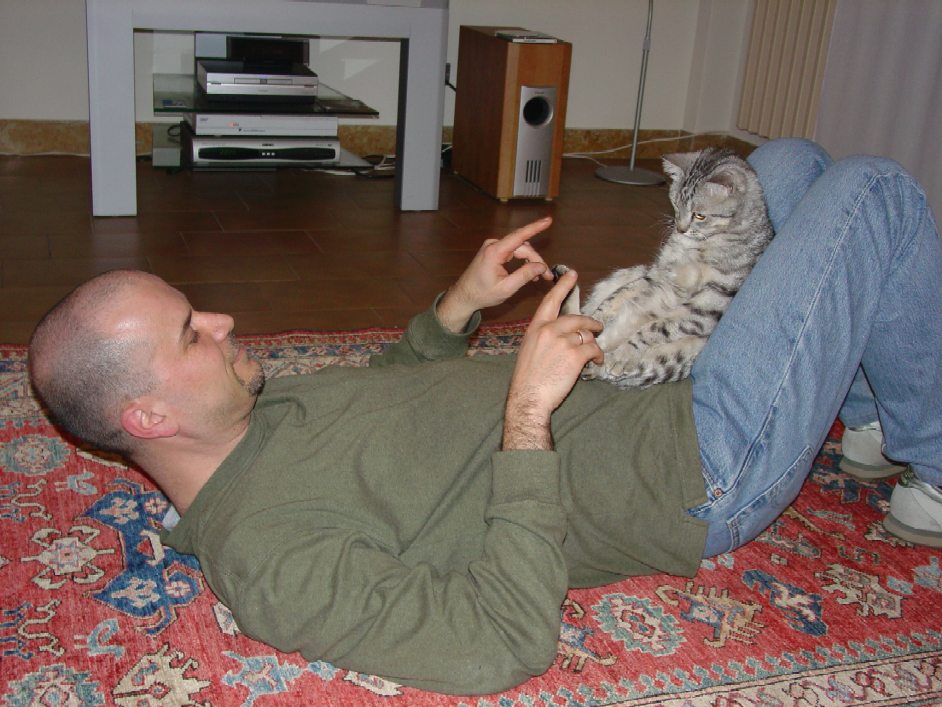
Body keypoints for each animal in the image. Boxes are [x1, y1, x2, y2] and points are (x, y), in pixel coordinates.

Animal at [556, 147, 774, 389]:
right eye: (676, 205)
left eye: (699, 215)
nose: (680, 228)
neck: (697, 247)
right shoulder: (658, 274)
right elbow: (614, 300)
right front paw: (598, 318)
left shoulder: (707, 304)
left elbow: (656, 328)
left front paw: (621, 354)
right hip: (626, 274)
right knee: (582, 319)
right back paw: (566, 282)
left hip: (665, 360)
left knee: (596, 356)